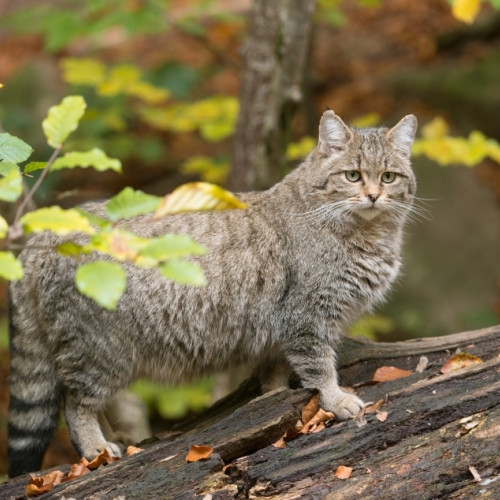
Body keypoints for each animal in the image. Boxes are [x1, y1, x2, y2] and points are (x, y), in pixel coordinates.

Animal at [7, 109, 416, 476]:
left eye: (389, 177)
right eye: (353, 175)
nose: (374, 196)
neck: (368, 234)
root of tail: (43, 235)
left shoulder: (283, 332)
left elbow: (275, 376)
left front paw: (277, 402)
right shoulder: (308, 320)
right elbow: (320, 368)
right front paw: (335, 400)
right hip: (100, 349)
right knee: (76, 403)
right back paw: (96, 448)